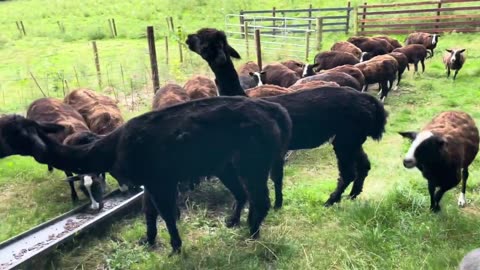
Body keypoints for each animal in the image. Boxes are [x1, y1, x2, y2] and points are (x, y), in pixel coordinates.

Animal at [0, 94, 292, 253]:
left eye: (9, 131)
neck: (111, 149)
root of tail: (273, 110)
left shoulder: (160, 180)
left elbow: (167, 215)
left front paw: (175, 248)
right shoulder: (148, 182)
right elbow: (148, 212)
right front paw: (148, 240)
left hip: (252, 160)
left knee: (260, 199)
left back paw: (252, 233)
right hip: (225, 164)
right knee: (244, 195)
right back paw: (235, 222)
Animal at [186, 27, 388, 209]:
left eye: (202, 40)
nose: (188, 38)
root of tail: (368, 101)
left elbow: (267, 177)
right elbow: (276, 176)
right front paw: (278, 204)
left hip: (347, 138)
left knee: (348, 173)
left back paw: (330, 201)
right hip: (353, 138)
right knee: (364, 165)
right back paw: (352, 195)